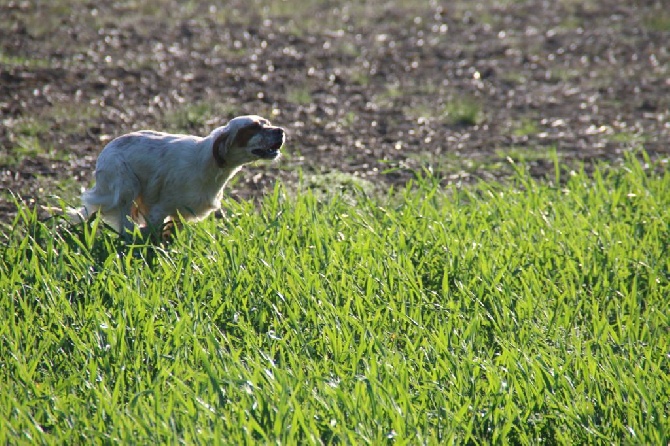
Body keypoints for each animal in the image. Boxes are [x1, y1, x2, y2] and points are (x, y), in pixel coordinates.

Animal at [69, 116, 284, 239]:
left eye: (268, 123)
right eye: (254, 127)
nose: (281, 131)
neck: (208, 164)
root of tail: (106, 150)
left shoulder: (182, 213)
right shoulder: (159, 210)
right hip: (125, 186)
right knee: (124, 223)